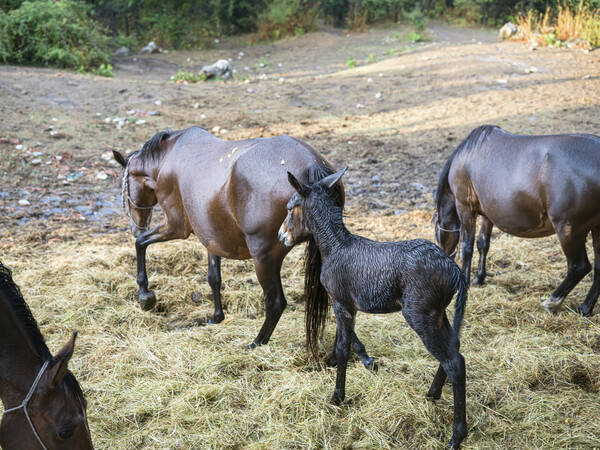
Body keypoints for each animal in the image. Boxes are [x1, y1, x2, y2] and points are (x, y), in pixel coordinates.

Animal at [113, 126, 370, 352]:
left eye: (124, 188)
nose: (135, 226)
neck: (168, 159)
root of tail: (311, 164)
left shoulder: (175, 227)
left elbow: (140, 243)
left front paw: (145, 295)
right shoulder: (211, 239)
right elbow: (213, 278)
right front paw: (217, 316)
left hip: (264, 258)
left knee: (276, 303)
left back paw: (257, 342)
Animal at [282, 168, 468, 446]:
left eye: (290, 207)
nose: (281, 236)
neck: (336, 246)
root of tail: (454, 268)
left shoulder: (341, 303)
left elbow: (343, 347)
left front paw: (337, 397)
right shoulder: (346, 306)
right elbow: (350, 341)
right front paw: (365, 364)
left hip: (420, 315)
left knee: (454, 362)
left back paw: (457, 435)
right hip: (438, 314)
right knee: (454, 349)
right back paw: (432, 394)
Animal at [434, 125, 600, 316]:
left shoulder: (465, 207)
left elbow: (467, 248)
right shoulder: (487, 214)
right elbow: (483, 243)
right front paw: (479, 279)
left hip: (568, 232)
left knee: (579, 267)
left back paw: (551, 302)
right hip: (597, 229)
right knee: (598, 268)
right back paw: (585, 308)